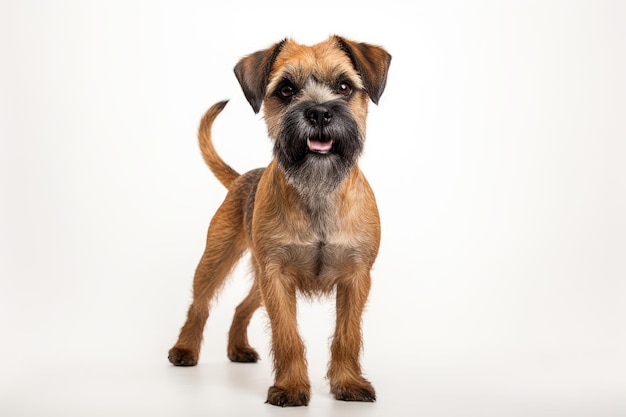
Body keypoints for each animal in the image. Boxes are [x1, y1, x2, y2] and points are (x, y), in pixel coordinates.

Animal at [166, 35, 390, 406]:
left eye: (344, 87)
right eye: (286, 89)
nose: (319, 112)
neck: (317, 192)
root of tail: (242, 178)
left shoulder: (356, 278)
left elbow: (347, 334)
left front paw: (348, 383)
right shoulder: (277, 279)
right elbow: (287, 336)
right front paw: (291, 387)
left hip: (258, 279)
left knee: (241, 307)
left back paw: (238, 349)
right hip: (217, 260)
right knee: (199, 304)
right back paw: (184, 349)